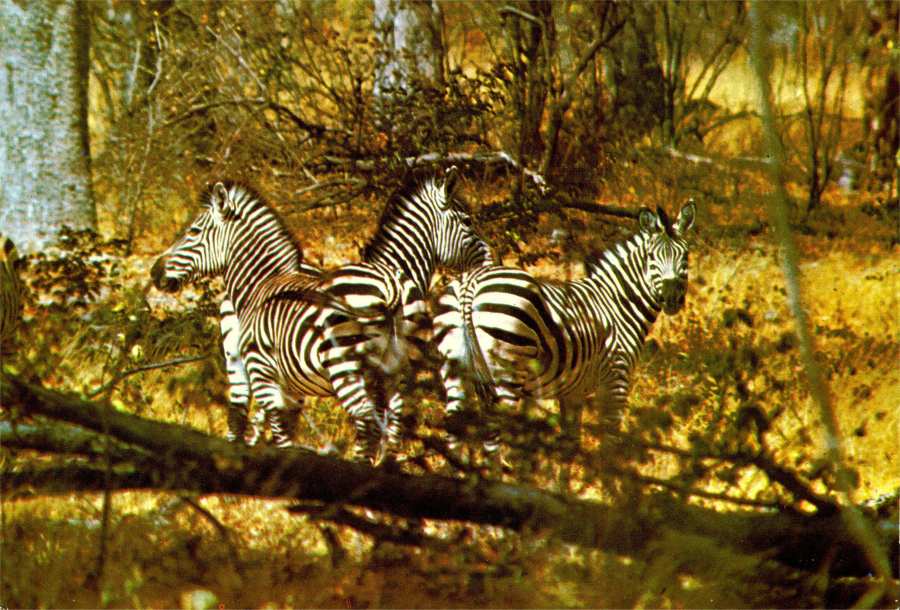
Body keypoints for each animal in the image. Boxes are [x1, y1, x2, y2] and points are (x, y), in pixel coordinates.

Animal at [434, 202, 696, 452]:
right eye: (651, 257)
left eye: (685, 256)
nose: (671, 298)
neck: (617, 302)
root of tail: (471, 283)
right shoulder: (616, 380)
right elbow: (609, 444)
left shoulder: (572, 393)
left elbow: (570, 445)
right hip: (506, 372)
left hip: (455, 370)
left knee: (455, 431)